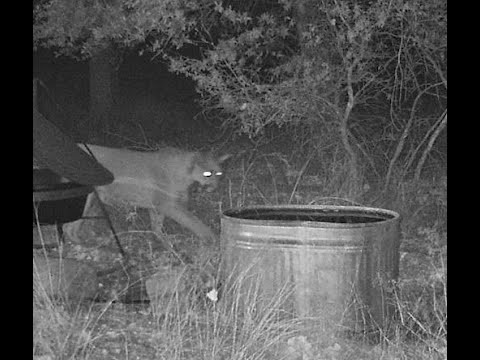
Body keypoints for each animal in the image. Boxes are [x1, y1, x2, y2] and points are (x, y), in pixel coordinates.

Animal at [64, 145, 231, 243]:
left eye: (219, 173)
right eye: (207, 174)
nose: (215, 187)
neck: (184, 173)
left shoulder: (157, 206)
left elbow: (156, 226)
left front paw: (164, 241)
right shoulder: (169, 206)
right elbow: (195, 222)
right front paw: (212, 238)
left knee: (73, 226)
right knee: (67, 226)